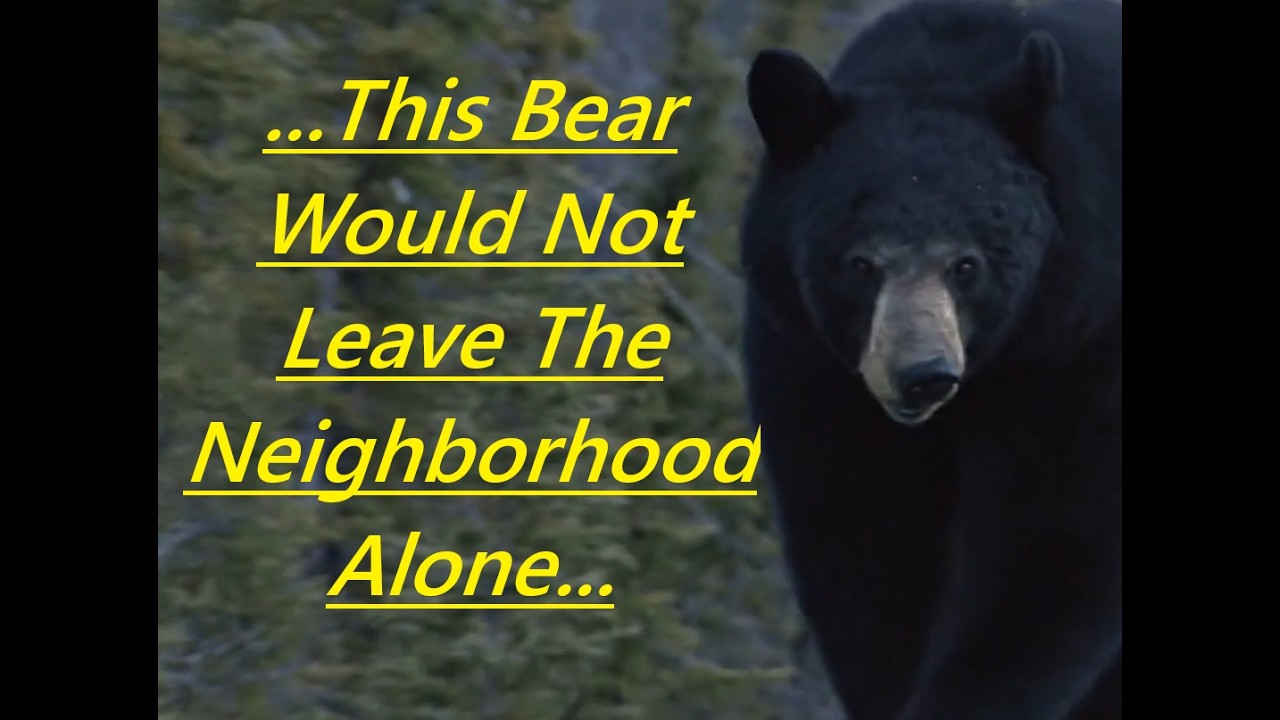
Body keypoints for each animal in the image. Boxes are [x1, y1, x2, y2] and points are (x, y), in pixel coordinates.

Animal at [738, 1, 1121, 719]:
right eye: (860, 263)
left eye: (966, 263)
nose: (923, 377)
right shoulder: (813, 366)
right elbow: (869, 547)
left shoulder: (1080, 346)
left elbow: (1058, 546)